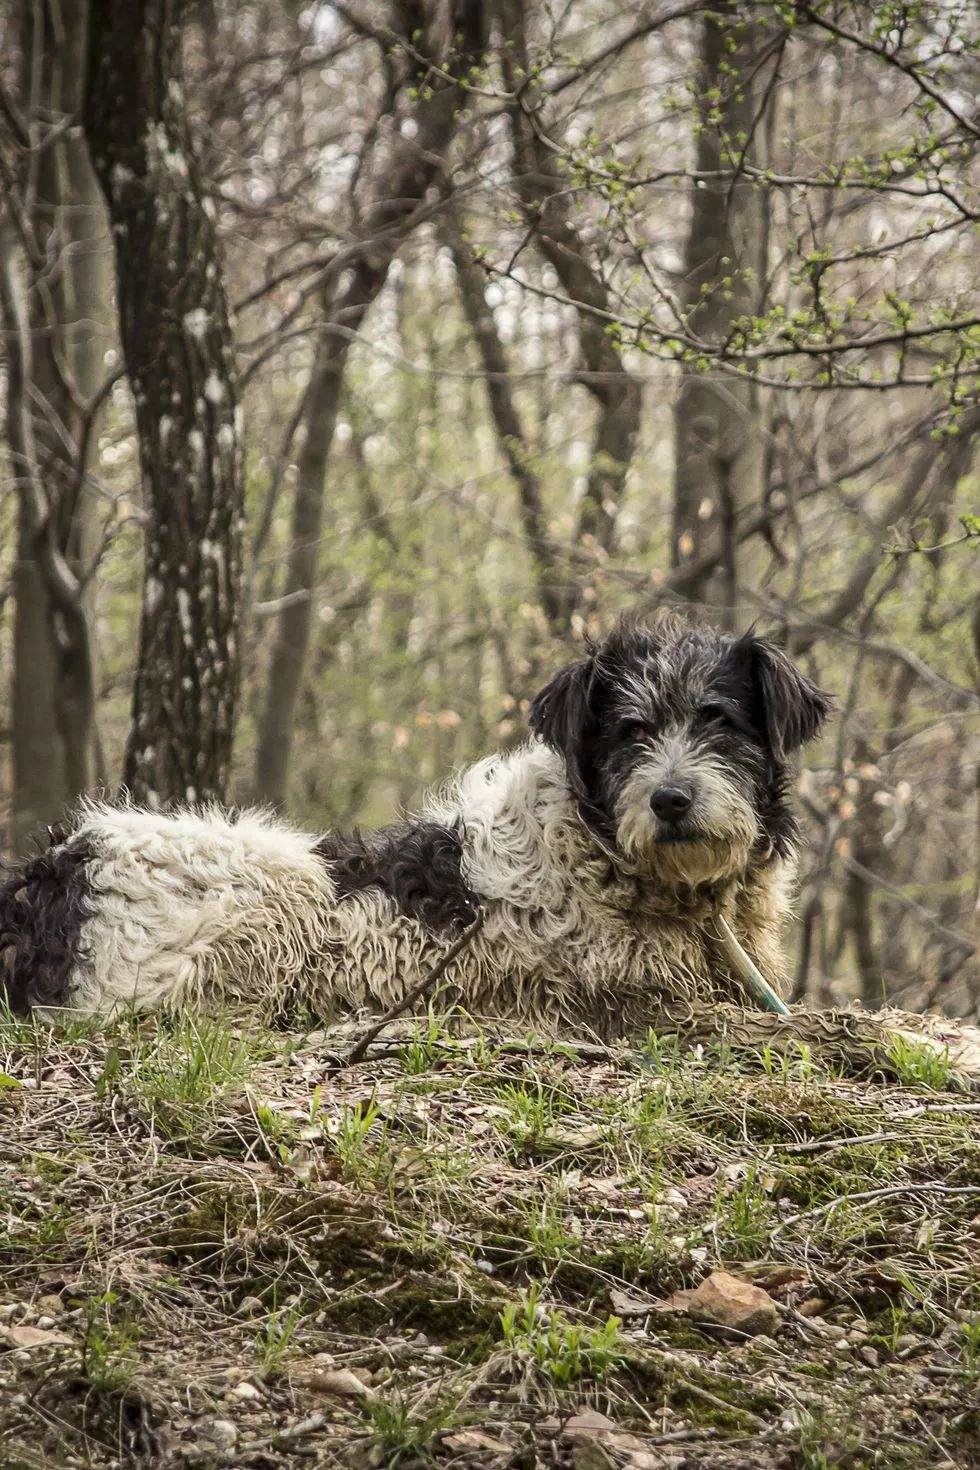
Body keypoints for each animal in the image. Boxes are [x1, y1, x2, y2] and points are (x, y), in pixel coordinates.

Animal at [1, 614, 980, 1087]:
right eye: (628, 731)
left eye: (720, 722)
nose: (670, 799)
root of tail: (47, 880)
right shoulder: (655, 1013)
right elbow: (846, 1025)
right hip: (282, 884)